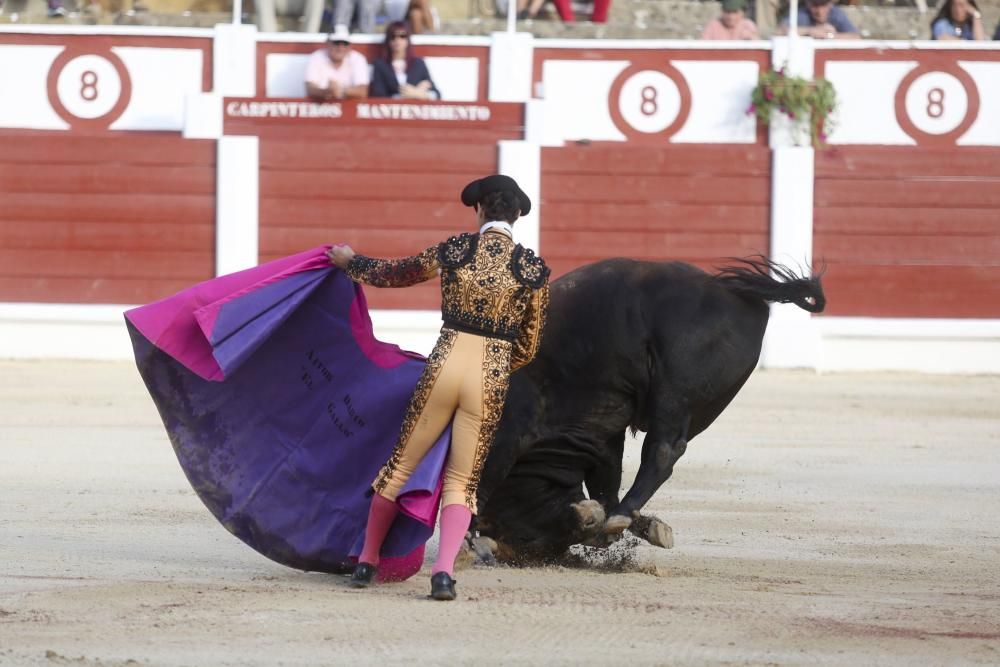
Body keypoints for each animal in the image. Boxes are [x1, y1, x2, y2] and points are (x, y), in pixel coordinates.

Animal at [472, 258, 824, 564]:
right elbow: (606, 484)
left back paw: (618, 518)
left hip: (673, 392)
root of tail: (729, 290)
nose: (587, 525)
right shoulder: (603, 442)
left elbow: (483, 481)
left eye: (525, 537)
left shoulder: (510, 432)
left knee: (662, 451)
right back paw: (624, 520)